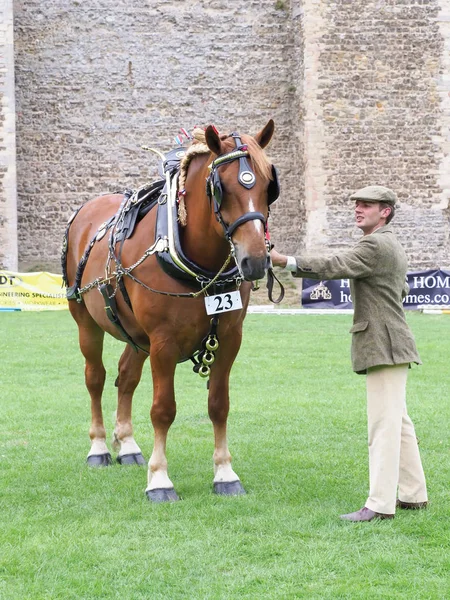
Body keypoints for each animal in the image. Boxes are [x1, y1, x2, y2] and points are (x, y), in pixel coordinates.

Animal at [62, 118, 280, 502]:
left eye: (270, 183)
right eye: (220, 187)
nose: (255, 260)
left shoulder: (229, 337)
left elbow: (219, 404)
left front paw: (225, 473)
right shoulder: (163, 341)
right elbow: (163, 410)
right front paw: (160, 479)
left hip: (137, 335)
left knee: (126, 376)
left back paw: (128, 445)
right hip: (87, 321)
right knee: (96, 377)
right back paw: (99, 448)